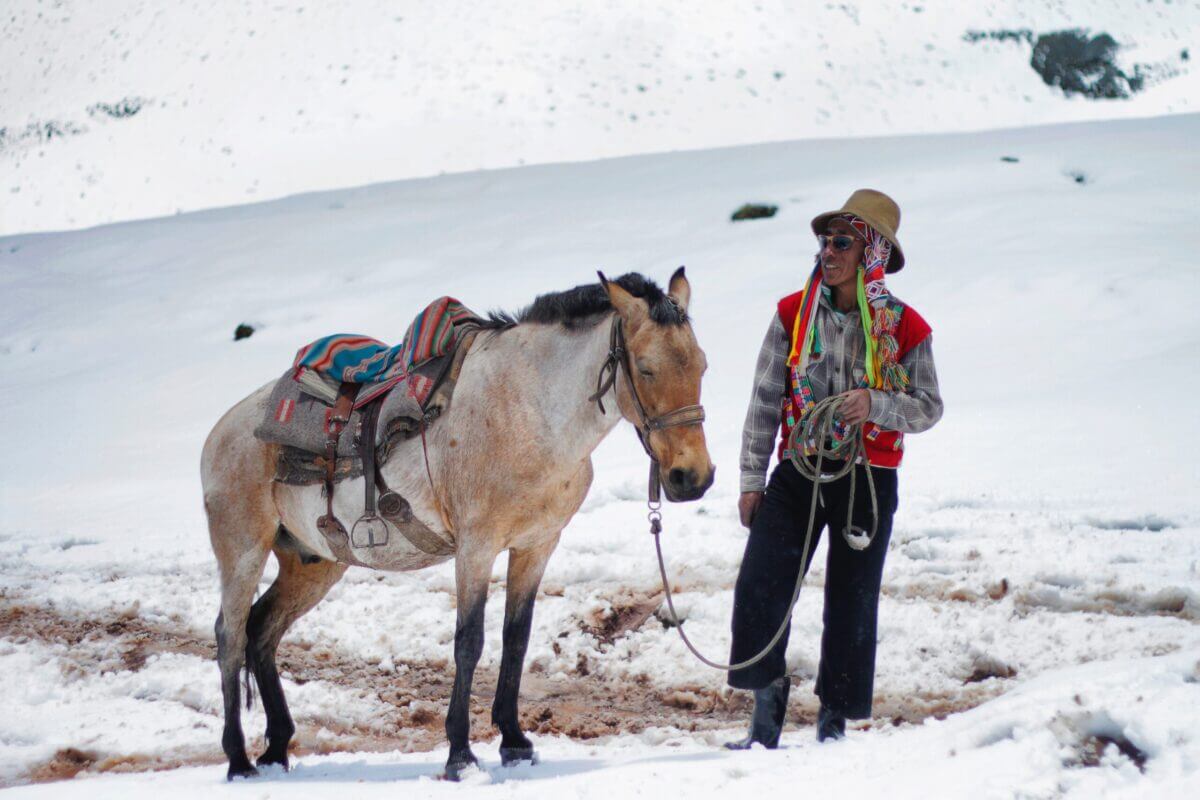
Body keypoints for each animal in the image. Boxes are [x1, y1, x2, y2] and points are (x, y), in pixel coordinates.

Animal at [201, 269, 714, 780]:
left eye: (702, 366)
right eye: (645, 368)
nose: (692, 478)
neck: (530, 411)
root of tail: (220, 431)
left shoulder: (537, 544)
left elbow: (516, 637)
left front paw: (515, 742)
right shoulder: (476, 546)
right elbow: (470, 641)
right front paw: (461, 756)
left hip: (314, 563)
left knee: (262, 631)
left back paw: (275, 749)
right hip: (243, 547)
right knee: (230, 635)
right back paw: (239, 760)